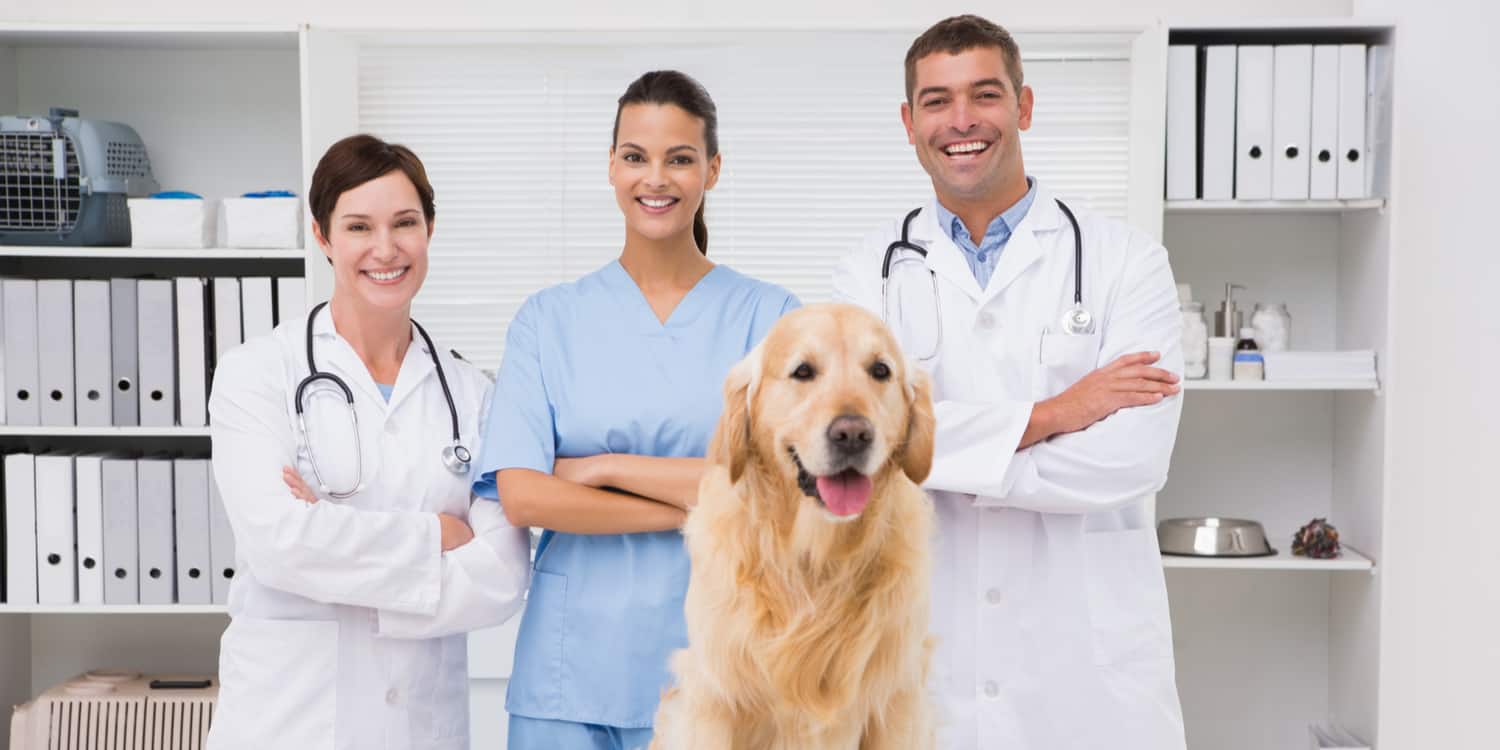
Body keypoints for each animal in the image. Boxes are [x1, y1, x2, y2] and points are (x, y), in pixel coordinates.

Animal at [651, 301, 930, 747]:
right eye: (803, 371)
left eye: (880, 370)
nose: (853, 434)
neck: (814, 558)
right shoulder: (714, 696)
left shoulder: (897, 699)